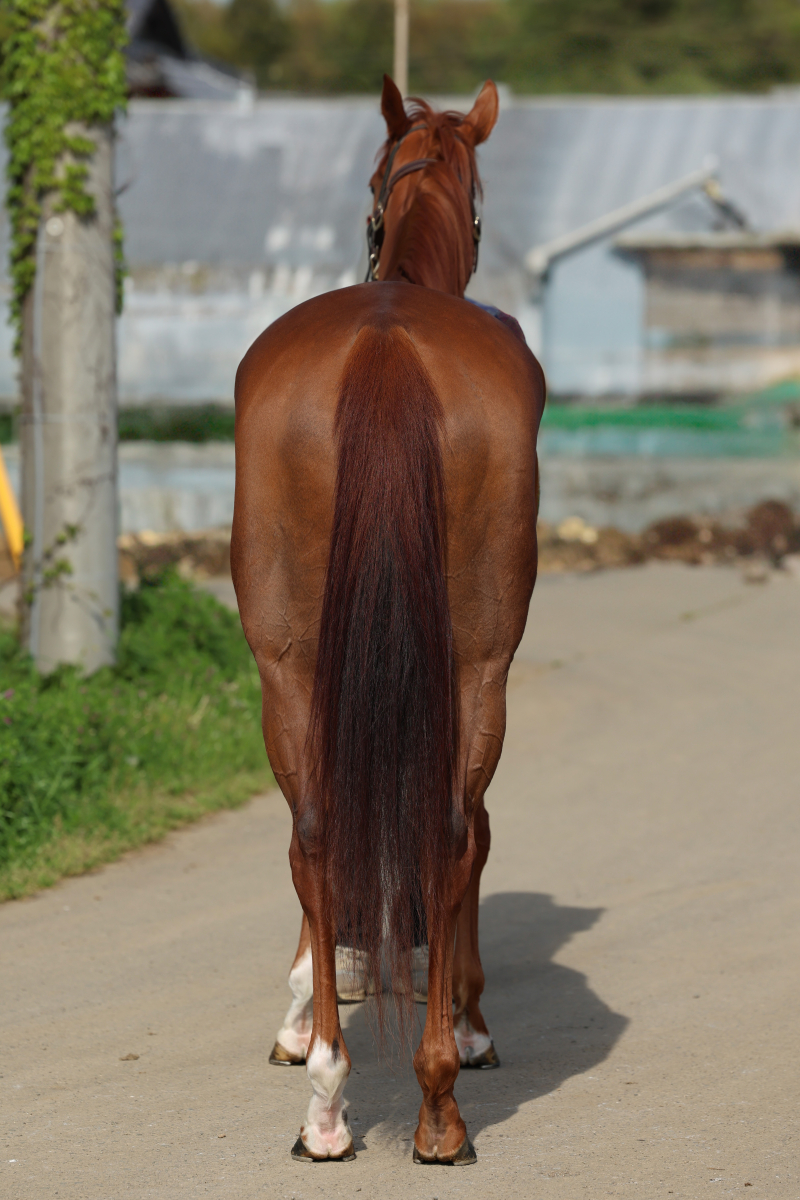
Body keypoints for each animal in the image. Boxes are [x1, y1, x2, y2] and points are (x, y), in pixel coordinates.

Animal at [231, 74, 545, 1166]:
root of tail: (383, 343)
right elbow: (468, 833)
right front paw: (470, 1020)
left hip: (289, 661)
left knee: (318, 830)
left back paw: (330, 1100)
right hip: (476, 663)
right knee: (450, 829)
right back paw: (433, 1099)